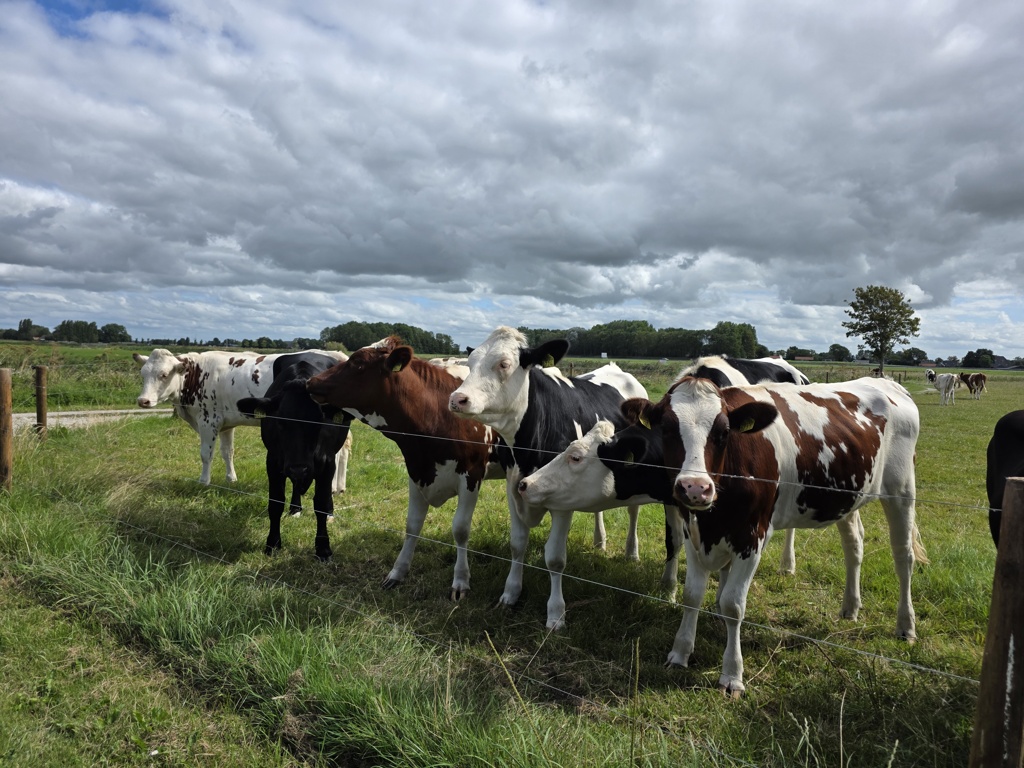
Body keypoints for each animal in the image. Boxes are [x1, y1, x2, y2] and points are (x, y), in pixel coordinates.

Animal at [134, 348, 352, 487]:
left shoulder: (208, 420)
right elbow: (227, 452)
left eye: (164, 374)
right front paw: (231, 478)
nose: (143, 400)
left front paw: (204, 481)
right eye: (143, 374)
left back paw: (332, 487)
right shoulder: (226, 423)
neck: (197, 374)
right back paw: (339, 486)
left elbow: (206, 454)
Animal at [236, 352, 353, 560]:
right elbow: (275, 502)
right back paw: (295, 508)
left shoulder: (327, 461)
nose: (299, 467)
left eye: (318, 421)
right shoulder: (273, 461)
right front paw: (272, 543)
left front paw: (323, 548)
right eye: (280, 421)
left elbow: (321, 503)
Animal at [305, 337, 507, 599]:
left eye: (358, 363)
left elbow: (461, 530)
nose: (311, 381)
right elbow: (412, 525)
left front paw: (461, 580)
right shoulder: (416, 471)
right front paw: (397, 572)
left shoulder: (471, 476)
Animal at [448, 325, 649, 630]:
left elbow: (555, 559)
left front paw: (556, 614)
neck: (527, 447)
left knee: (633, 511)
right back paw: (599, 541)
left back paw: (632, 552)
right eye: (469, 364)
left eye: (504, 364)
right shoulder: (513, 488)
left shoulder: (561, 500)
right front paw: (510, 594)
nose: (457, 399)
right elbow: (517, 544)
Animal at [623, 376, 926, 696]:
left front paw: (732, 675)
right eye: (667, 429)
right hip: (848, 496)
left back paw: (906, 626)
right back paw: (850, 608)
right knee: (854, 546)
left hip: (902, 490)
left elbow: (732, 605)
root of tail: (884, 381)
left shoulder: (751, 538)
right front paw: (680, 653)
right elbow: (692, 595)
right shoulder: (693, 533)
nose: (695, 488)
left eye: (723, 432)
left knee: (903, 556)